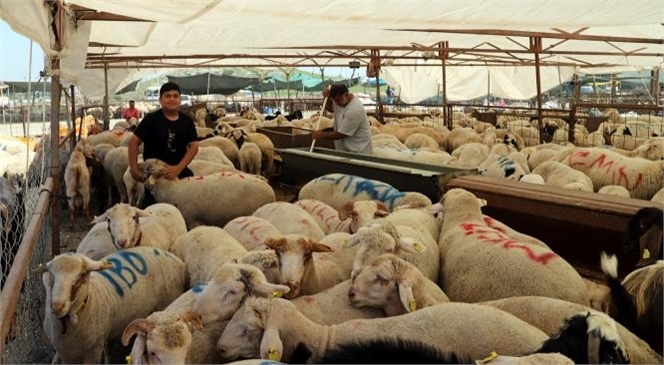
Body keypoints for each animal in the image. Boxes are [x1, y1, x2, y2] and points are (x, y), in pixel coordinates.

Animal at [38, 246, 185, 362]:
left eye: (81, 275)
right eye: (51, 275)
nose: (57, 306)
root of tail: (175, 258)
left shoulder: (93, 351)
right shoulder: (64, 351)